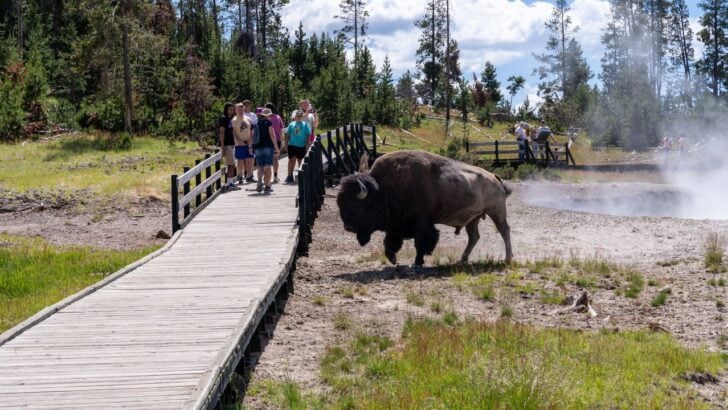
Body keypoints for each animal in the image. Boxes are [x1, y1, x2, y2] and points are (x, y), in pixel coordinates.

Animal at [337, 150, 513, 267]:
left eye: (356, 207)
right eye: (340, 203)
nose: (348, 227)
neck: (383, 190)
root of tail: (495, 177)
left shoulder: (422, 225)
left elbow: (421, 243)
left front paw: (417, 263)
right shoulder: (395, 227)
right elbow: (390, 244)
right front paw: (394, 260)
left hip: (496, 211)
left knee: (504, 230)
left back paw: (507, 258)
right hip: (474, 218)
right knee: (474, 237)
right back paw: (462, 259)